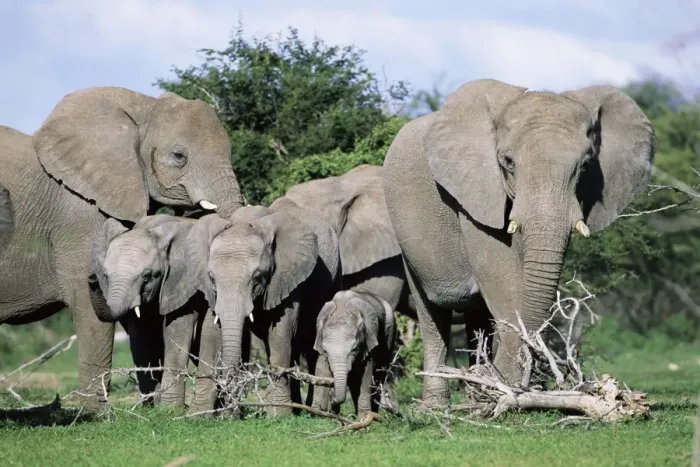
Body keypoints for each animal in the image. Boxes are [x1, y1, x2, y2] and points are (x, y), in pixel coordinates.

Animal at [91, 215, 222, 413]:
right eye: (105, 276)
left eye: (147, 276)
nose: (91, 279)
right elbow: (140, 338)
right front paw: (151, 408)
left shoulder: (182, 282)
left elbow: (177, 331)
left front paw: (169, 410)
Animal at [185, 201, 342, 416]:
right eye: (211, 278)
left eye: (257, 277)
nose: (230, 412)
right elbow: (210, 331)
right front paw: (198, 414)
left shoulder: (287, 275)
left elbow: (280, 331)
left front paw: (279, 415)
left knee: (312, 344)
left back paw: (315, 411)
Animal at [382, 78, 655, 408]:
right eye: (508, 162)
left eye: (586, 165)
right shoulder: (477, 191)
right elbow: (503, 277)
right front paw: (511, 385)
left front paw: (506, 386)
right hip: (405, 233)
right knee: (433, 315)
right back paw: (440, 404)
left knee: (477, 317)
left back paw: (476, 389)